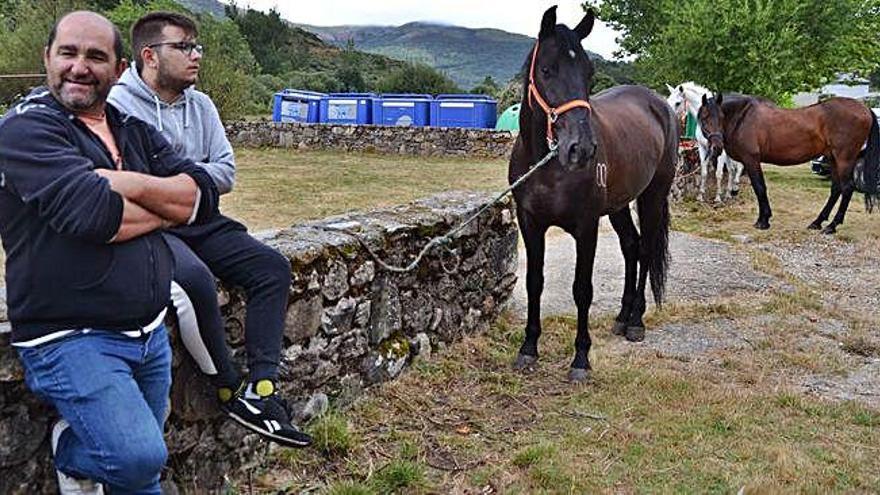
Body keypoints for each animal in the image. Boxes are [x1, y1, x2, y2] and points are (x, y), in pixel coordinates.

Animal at [508, 5, 680, 382]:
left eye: (589, 72)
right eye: (547, 69)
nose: (582, 149)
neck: (548, 166)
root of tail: (660, 106)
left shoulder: (586, 227)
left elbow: (581, 290)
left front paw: (581, 358)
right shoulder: (530, 223)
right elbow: (534, 282)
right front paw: (528, 348)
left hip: (652, 197)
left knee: (646, 249)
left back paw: (636, 321)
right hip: (618, 205)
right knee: (631, 246)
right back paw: (622, 316)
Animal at [696, 94, 880, 234]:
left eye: (721, 117)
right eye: (704, 118)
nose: (716, 146)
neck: (743, 116)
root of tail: (865, 109)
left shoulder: (751, 160)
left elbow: (759, 188)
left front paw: (763, 221)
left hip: (844, 159)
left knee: (847, 188)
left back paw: (832, 226)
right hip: (833, 159)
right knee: (836, 189)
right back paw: (817, 222)